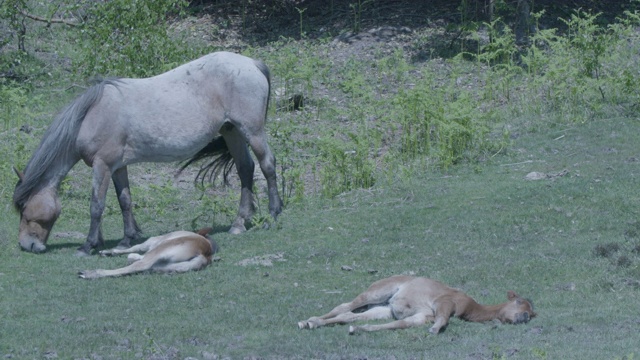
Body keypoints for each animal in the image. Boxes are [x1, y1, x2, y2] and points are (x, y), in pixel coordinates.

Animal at [77, 228, 218, 278]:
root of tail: (204, 253)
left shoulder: (152, 242)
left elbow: (135, 249)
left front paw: (107, 252)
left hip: (159, 251)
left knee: (139, 265)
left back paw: (89, 273)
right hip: (165, 266)